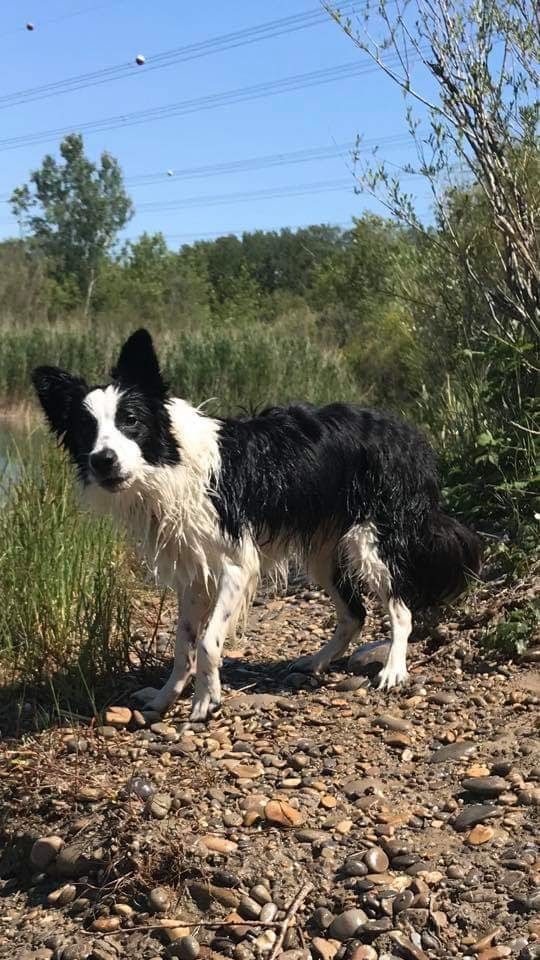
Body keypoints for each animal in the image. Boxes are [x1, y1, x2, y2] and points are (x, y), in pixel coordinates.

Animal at [32, 330, 480, 720]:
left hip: (372, 542)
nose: (102, 460)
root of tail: (408, 433)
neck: (171, 462)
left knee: (400, 609)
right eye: (86, 430)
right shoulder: (194, 571)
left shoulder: (236, 564)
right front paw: (166, 696)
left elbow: (208, 641)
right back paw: (316, 661)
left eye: (130, 420)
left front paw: (206, 701)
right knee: (354, 614)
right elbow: (183, 642)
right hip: (322, 552)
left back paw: (393, 669)